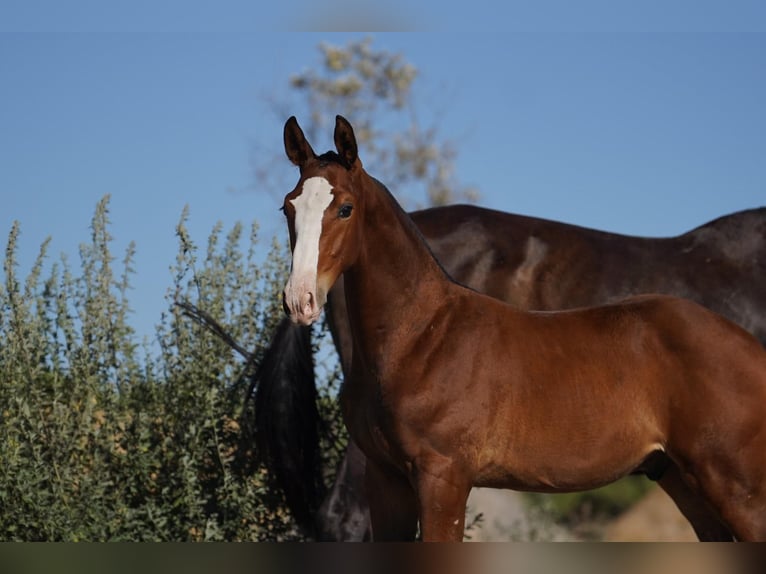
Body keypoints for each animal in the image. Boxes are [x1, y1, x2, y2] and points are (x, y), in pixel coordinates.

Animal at [280, 115, 766, 544]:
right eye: (288, 207)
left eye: (345, 208)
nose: (299, 299)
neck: (419, 336)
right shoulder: (387, 479)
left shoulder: (443, 476)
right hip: (683, 479)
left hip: (735, 485)